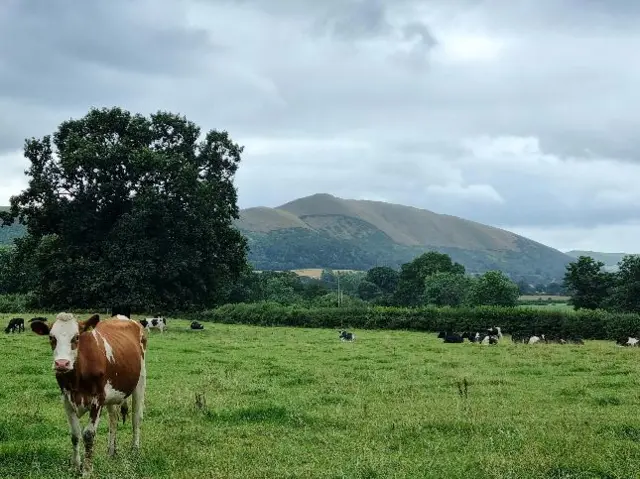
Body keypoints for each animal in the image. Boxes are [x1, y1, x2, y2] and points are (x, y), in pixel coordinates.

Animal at [32, 316, 149, 476]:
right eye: (51, 337)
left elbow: (88, 435)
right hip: (112, 394)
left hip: (140, 381)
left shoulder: (97, 399)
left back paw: (135, 450)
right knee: (113, 420)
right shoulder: (66, 399)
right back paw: (111, 451)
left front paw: (86, 470)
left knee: (136, 418)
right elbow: (75, 434)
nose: (62, 364)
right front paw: (75, 466)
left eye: (76, 337)